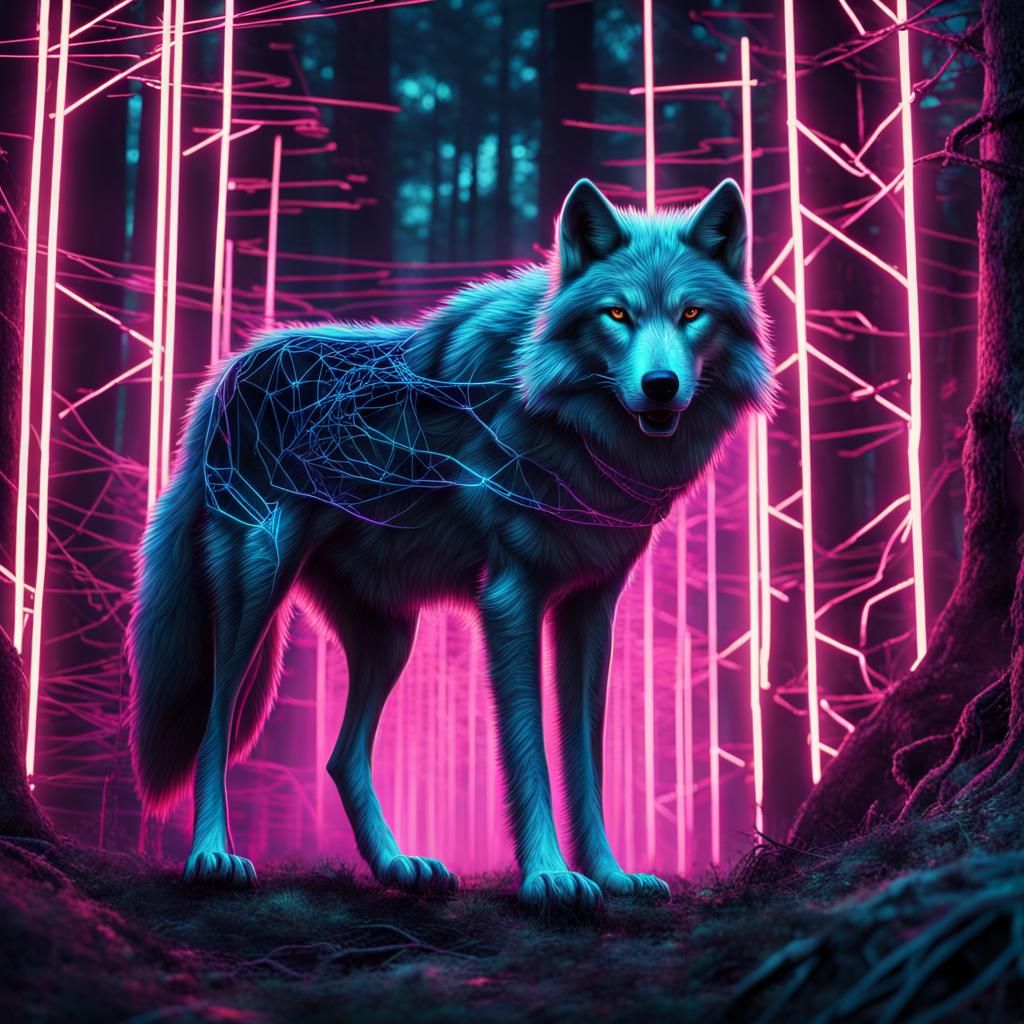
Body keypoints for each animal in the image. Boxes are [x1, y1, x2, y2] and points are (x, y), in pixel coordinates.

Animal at [127, 177, 775, 912]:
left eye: (692, 313)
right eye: (617, 314)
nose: (660, 386)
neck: (563, 421)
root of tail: (224, 376)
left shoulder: (590, 610)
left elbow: (587, 758)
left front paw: (610, 875)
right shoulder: (511, 598)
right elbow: (528, 750)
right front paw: (549, 875)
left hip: (390, 638)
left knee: (341, 756)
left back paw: (397, 865)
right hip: (258, 587)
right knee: (214, 725)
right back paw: (212, 855)